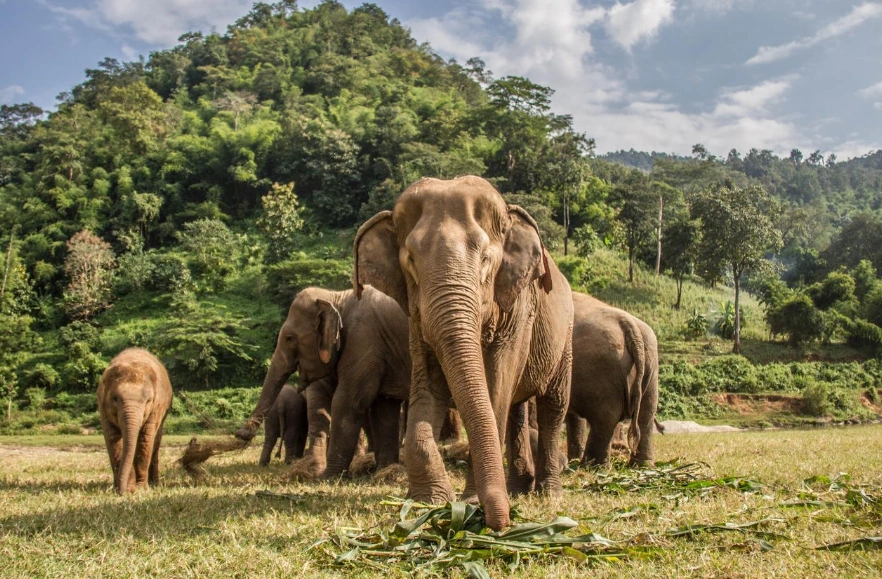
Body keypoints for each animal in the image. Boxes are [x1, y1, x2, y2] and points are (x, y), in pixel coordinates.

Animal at [97, 348, 173, 495]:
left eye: (148, 401)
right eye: (115, 399)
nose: (121, 492)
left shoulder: (157, 407)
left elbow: (146, 438)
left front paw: (141, 489)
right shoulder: (102, 407)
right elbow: (113, 439)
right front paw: (127, 489)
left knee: (155, 441)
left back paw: (154, 484)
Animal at [234, 286, 411, 478]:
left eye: (289, 338)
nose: (241, 433)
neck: (337, 296)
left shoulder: (364, 343)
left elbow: (346, 403)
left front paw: (327, 477)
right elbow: (383, 407)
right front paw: (384, 472)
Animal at [354, 175, 573, 531]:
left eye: (485, 258)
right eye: (411, 261)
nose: (501, 522)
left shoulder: (518, 309)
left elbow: (496, 386)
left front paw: (469, 502)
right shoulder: (416, 319)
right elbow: (428, 385)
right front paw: (428, 502)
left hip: (565, 335)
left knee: (553, 405)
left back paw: (548, 494)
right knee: (516, 409)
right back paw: (518, 489)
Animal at [564, 291, 659, 467]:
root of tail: (630, 326)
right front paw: (572, 459)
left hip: (600, 369)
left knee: (605, 417)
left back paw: (592, 466)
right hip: (651, 366)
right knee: (646, 413)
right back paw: (641, 465)